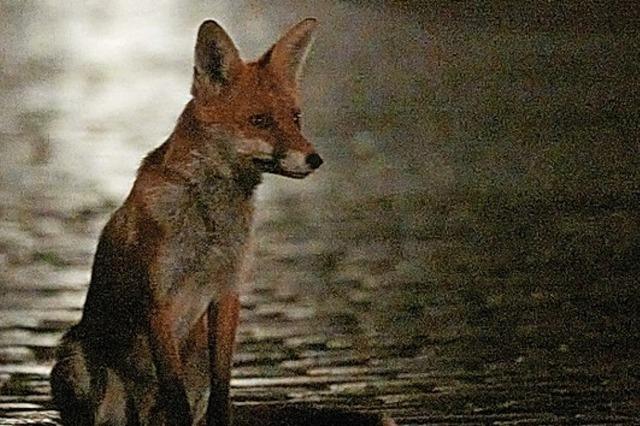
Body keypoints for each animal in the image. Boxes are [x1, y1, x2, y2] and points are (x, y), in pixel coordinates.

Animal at [51, 18, 396, 426]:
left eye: (296, 118)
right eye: (260, 120)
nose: (315, 159)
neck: (210, 225)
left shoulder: (227, 292)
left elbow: (223, 392)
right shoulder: (159, 301)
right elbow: (176, 396)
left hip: (195, 356)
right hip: (78, 363)